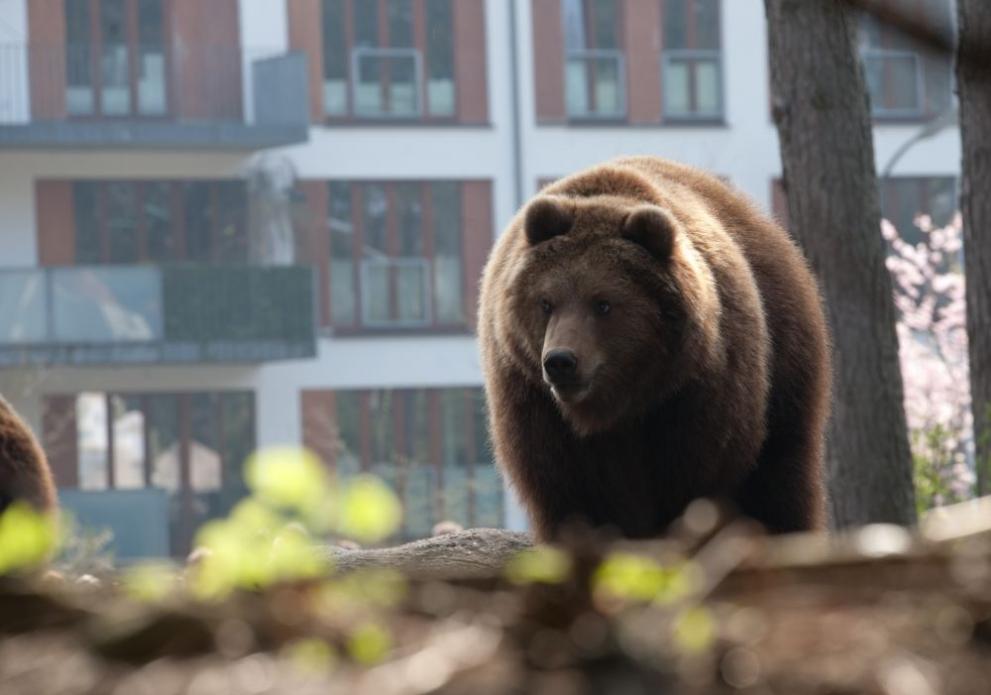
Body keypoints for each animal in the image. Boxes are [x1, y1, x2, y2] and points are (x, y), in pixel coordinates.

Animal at [478, 156, 828, 540]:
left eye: (603, 303)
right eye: (546, 302)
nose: (560, 361)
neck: (618, 405)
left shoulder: (697, 396)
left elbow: (693, 482)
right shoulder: (536, 406)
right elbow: (573, 493)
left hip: (785, 370)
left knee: (781, 477)